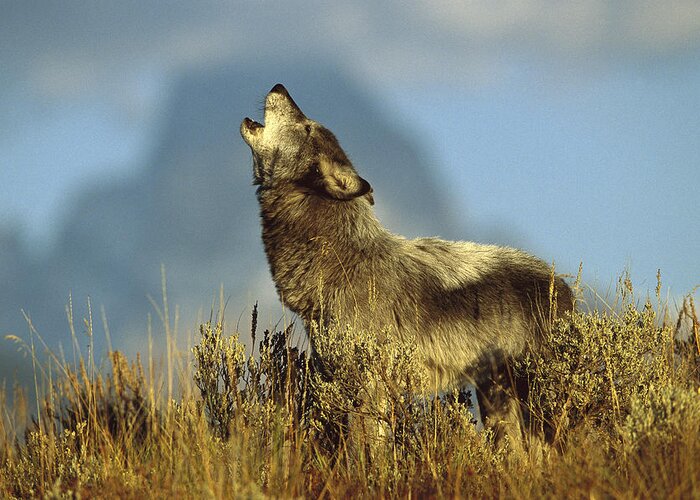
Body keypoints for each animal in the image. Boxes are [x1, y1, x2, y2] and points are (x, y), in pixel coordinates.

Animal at [241, 83, 576, 446]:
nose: (279, 87)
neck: (341, 259)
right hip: (497, 400)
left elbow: (366, 450)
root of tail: (565, 288)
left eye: (307, 127)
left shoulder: (369, 385)